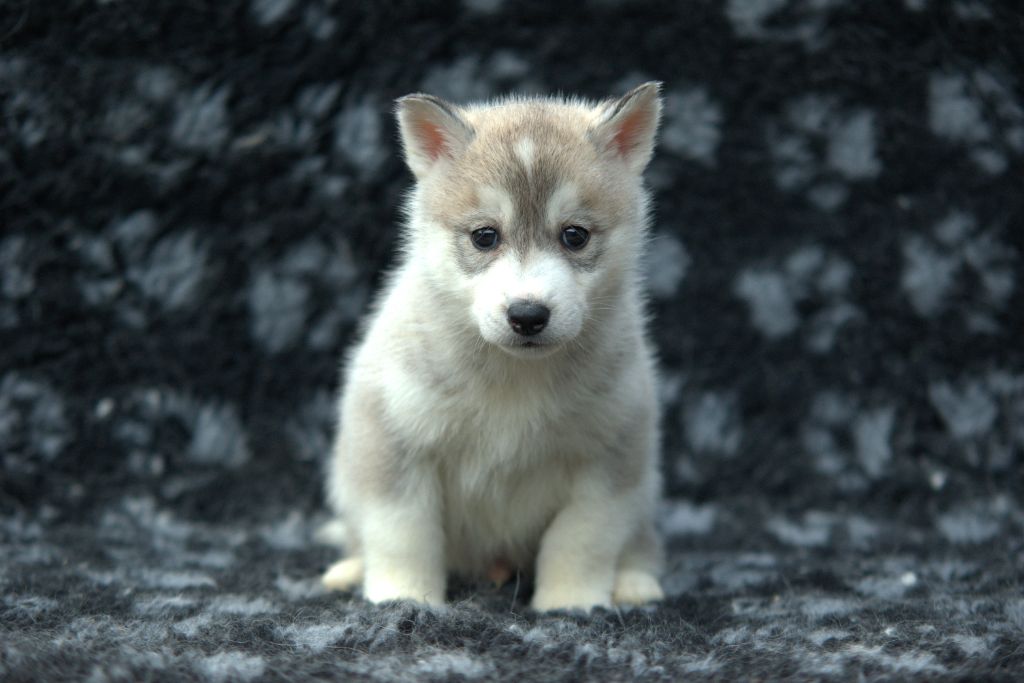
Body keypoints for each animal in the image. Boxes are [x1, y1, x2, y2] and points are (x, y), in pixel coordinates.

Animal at [320, 82, 665, 611]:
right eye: (485, 236)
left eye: (575, 235)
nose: (527, 315)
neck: (513, 377)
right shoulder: (394, 441)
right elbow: (403, 532)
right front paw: (404, 598)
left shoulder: (610, 459)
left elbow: (582, 537)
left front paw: (572, 604)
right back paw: (348, 570)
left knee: (641, 542)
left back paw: (634, 582)